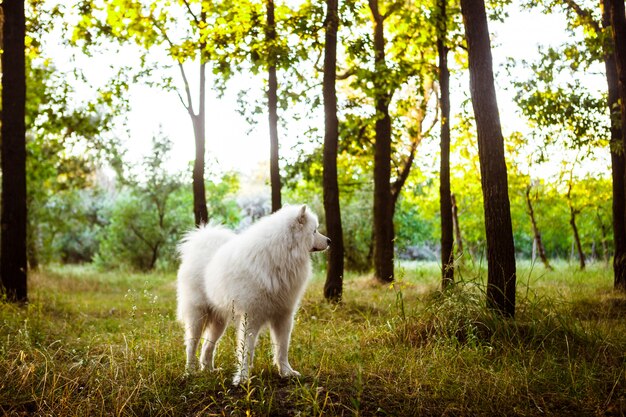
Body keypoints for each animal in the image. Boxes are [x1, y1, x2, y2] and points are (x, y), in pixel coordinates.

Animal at [176, 204, 330, 384]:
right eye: (314, 231)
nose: (330, 241)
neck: (279, 256)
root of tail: (200, 243)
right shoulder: (251, 317)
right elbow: (246, 350)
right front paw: (242, 378)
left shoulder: (284, 316)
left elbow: (282, 348)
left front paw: (286, 372)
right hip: (197, 317)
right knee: (191, 345)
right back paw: (190, 372)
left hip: (219, 322)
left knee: (207, 346)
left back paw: (209, 370)